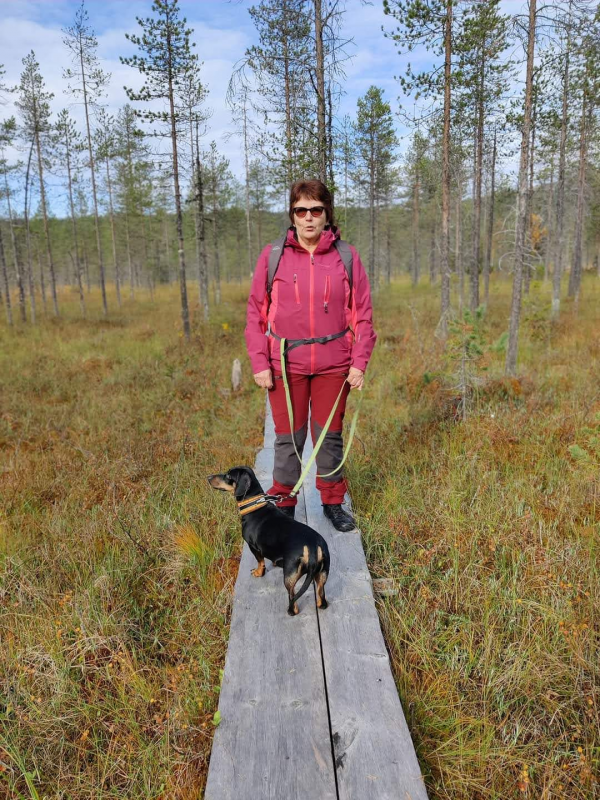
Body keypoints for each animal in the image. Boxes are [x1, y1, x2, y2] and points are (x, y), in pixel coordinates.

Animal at [207, 466, 330, 616]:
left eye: (229, 476)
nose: (208, 477)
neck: (255, 505)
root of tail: (312, 546)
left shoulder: (253, 547)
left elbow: (260, 562)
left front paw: (259, 573)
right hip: (322, 574)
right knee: (321, 596)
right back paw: (320, 604)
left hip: (289, 576)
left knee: (292, 597)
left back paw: (291, 611)